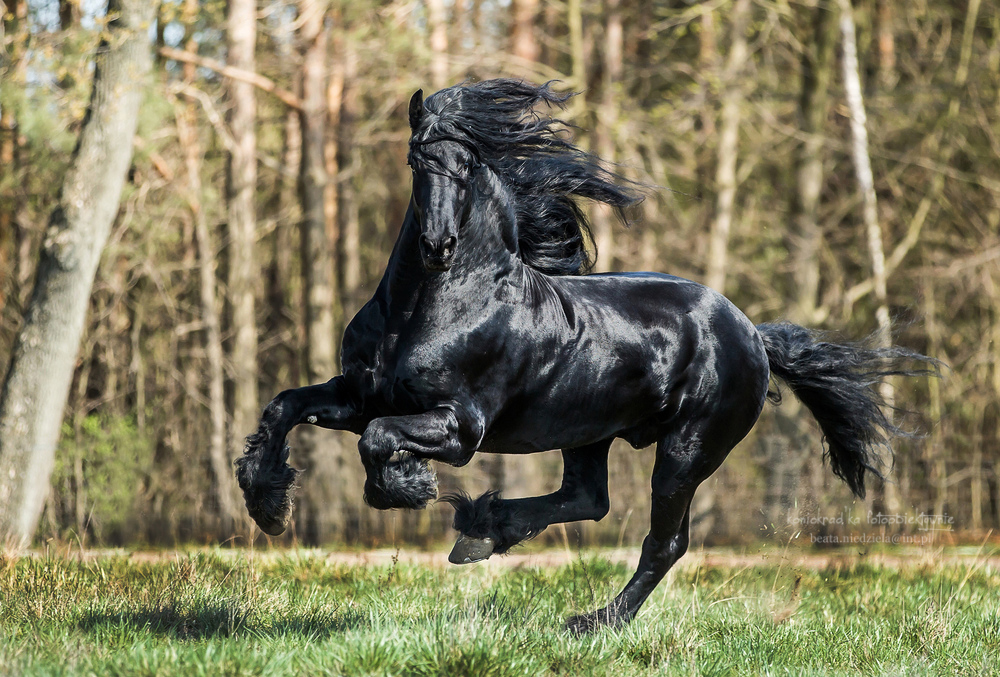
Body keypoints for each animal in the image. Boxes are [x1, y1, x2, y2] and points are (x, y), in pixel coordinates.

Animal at [236, 80, 936, 632]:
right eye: (417, 160)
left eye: (466, 166)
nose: (437, 246)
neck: (432, 305)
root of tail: (752, 336)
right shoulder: (359, 394)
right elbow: (286, 406)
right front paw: (267, 503)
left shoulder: (461, 426)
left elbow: (379, 439)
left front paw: (404, 487)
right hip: (587, 432)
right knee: (586, 499)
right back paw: (485, 529)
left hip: (687, 449)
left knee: (664, 541)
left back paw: (593, 621)